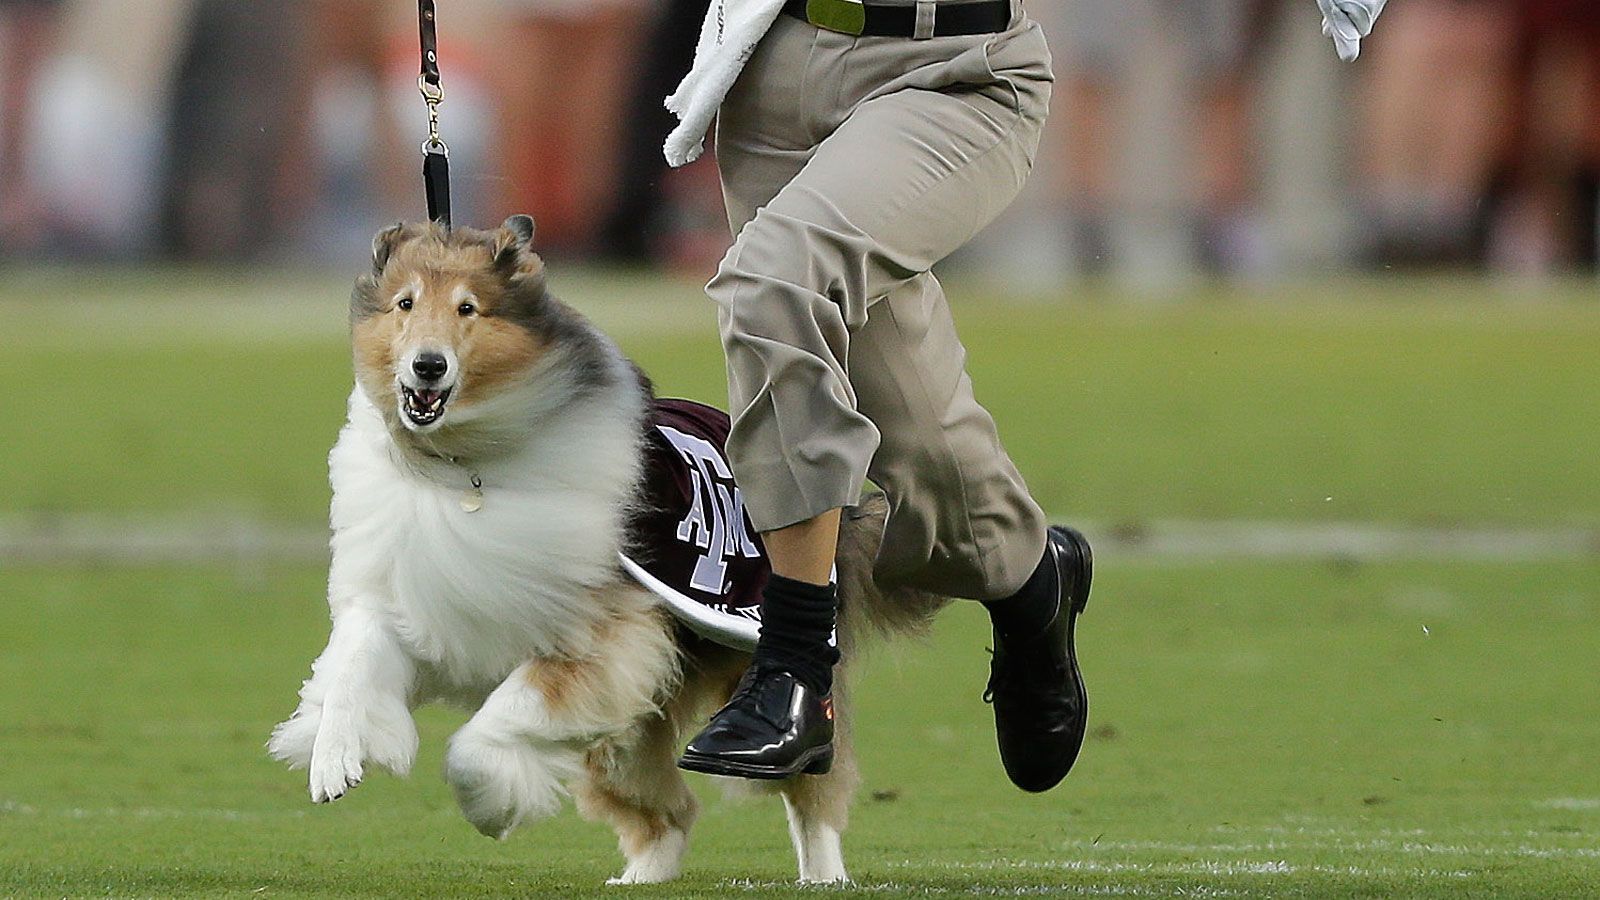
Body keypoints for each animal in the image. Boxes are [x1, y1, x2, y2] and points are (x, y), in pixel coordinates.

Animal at [268, 217, 940, 883]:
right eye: (405, 303)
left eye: (468, 308)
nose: (426, 367)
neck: (465, 467)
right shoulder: (407, 593)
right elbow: (354, 662)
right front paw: (333, 758)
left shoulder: (599, 640)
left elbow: (481, 737)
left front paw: (489, 805)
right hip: (629, 728)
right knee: (671, 812)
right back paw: (641, 879)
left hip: (750, 677)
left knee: (811, 786)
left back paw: (823, 873)